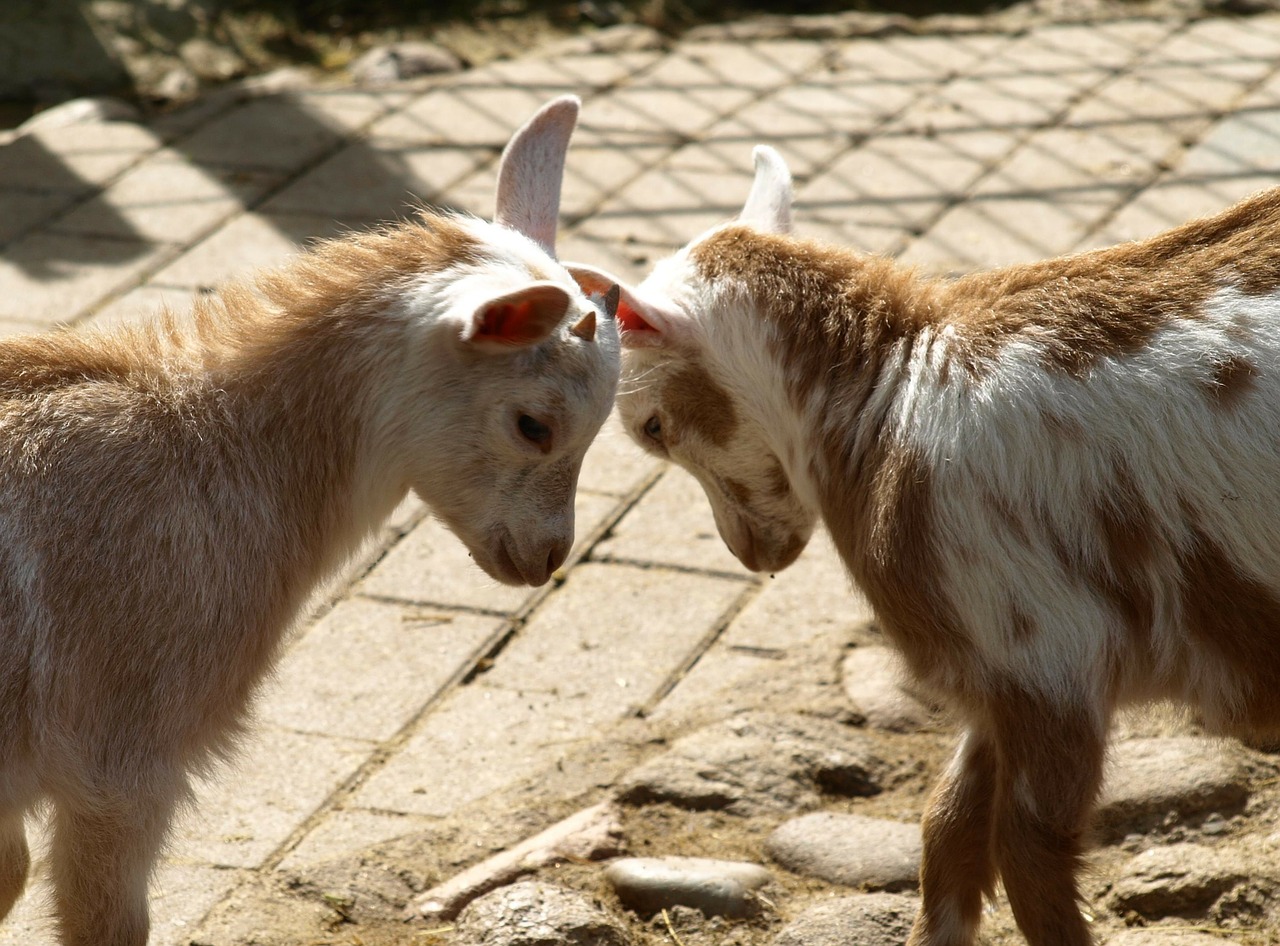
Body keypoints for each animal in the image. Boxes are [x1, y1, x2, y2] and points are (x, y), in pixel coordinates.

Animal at [573, 144, 1280, 942]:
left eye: (651, 426)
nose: (752, 554)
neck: (894, 384)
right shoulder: (999, 678)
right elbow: (948, 830)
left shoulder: (1042, 651)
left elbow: (1027, 854)